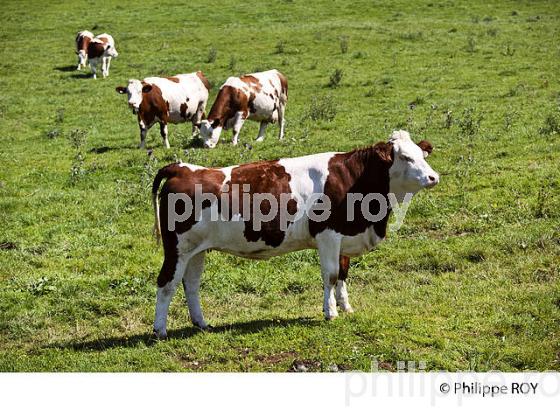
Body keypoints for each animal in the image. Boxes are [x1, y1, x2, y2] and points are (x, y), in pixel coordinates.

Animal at [151, 131, 440, 336]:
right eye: (405, 157)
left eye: (423, 156)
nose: (433, 177)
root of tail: (182, 168)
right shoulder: (328, 236)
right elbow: (331, 275)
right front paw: (330, 312)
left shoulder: (343, 237)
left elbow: (343, 274)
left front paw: (346, 307)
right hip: (177, 248)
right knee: (166, 283)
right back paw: (160, 330)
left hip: (196, 251)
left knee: (190, 284)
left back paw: (202, 323)